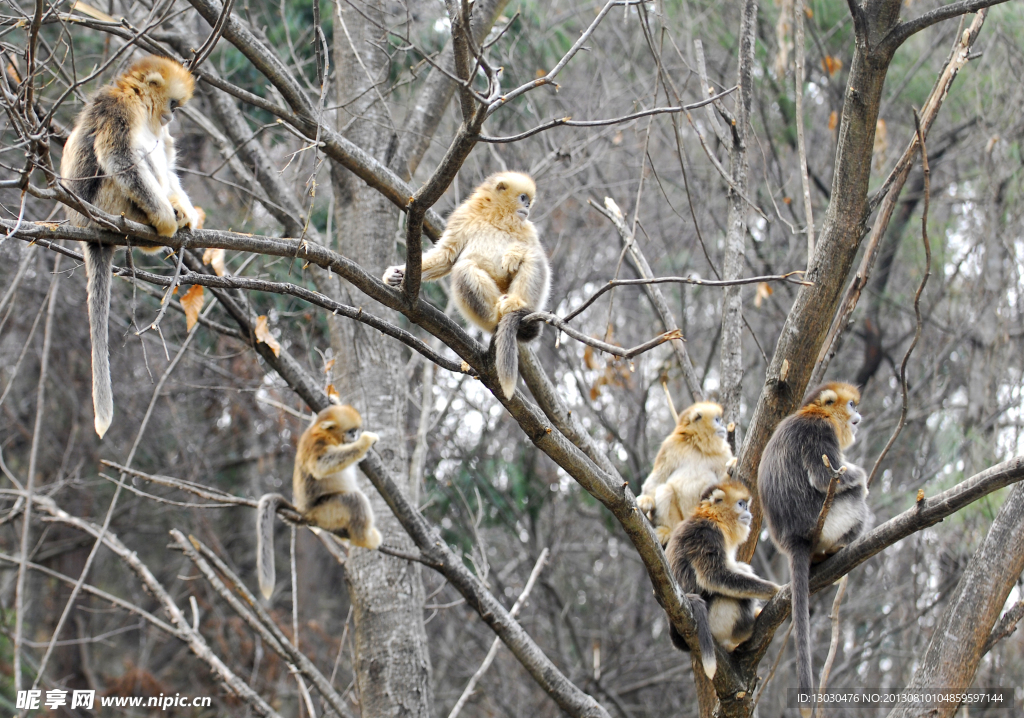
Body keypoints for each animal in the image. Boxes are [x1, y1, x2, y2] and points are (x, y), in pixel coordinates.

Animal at [258, 403, 382, 598]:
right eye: (351, 431)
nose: (355, 436)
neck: (323, 433)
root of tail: (303, 512)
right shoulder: (317, 444)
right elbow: (321, 465)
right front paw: (365, 442)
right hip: (325, 511)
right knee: (355, 499)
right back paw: (365, 540)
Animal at [382, 171, 548, 401]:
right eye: (523, 198)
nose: (528, 206)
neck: (497, 217)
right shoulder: (464, 216)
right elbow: (446, 256)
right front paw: (396, 275)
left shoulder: (528, 228)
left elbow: (535, 253)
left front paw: (514, 254)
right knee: (464, 268)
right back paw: (495, 317)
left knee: (533, 257)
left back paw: (514, 304)